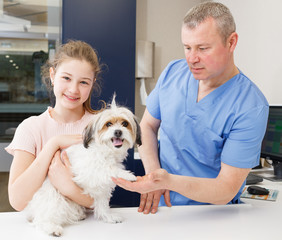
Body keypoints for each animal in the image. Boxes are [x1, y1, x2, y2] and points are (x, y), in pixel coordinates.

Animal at [24, 95, 141, 236]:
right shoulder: (89, 172)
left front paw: (107, 216)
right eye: (108, 124)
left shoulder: (101, 189)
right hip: (55, 197)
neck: (105, 151)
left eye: (125, 124)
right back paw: (52, 228)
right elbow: (109, 169)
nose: (118, 132)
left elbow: (102, 203)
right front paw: (127, 175)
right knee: (42, 219)